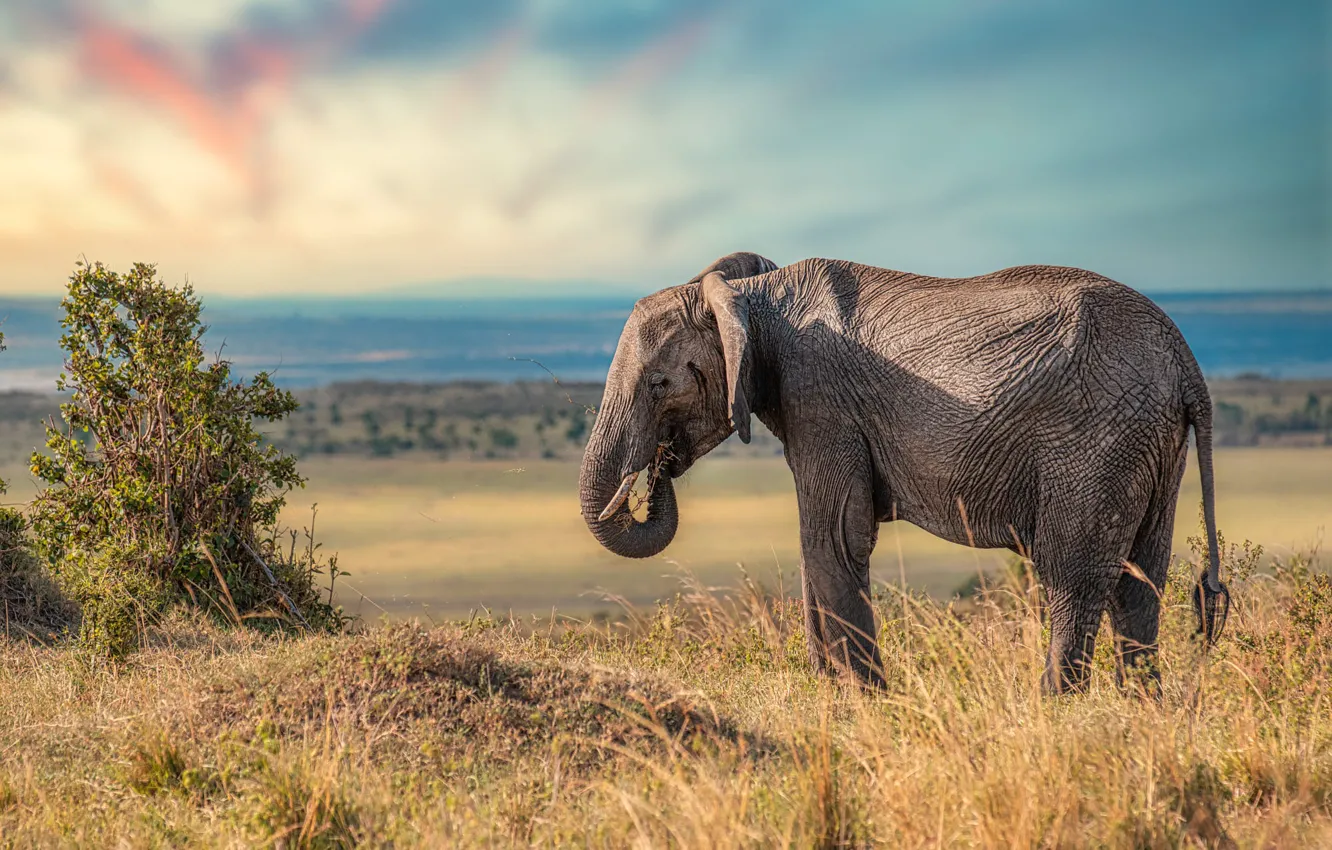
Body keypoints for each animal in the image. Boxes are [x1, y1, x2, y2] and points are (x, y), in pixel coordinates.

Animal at [578, 251, 1230, 693]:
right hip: (1150, 444)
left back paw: (1055, 711)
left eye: (660, 384)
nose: (658, 470)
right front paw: (831, 695)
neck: (750, 296)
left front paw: (864, 704)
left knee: (1073, 577)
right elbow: (822, 544)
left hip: (1099, 441)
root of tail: (1186, 364)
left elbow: (834, 538)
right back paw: (1140, 711)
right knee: (1141, 581)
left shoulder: (823, 402)